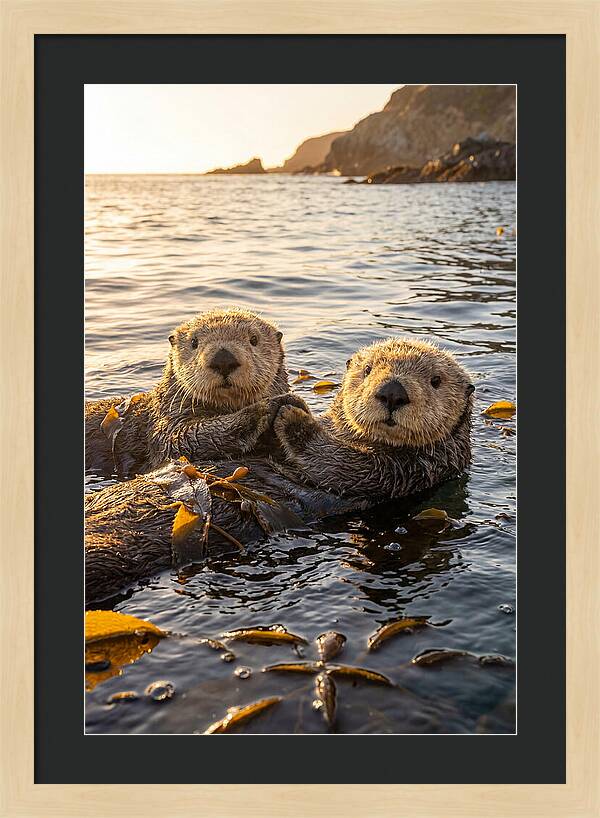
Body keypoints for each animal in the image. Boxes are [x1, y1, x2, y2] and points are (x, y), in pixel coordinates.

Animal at [85, 308, 292, 477]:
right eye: (194, 342)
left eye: (254, 339)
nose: (223, 359)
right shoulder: (167, 421)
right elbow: (182, 439)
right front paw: (268, 407)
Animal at [85, 338, 474, 602]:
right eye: (367, 371)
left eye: (436, 381)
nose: (392, 392)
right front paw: (278, 405)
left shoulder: (405, 472)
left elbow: (337, 462)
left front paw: (291, 415)